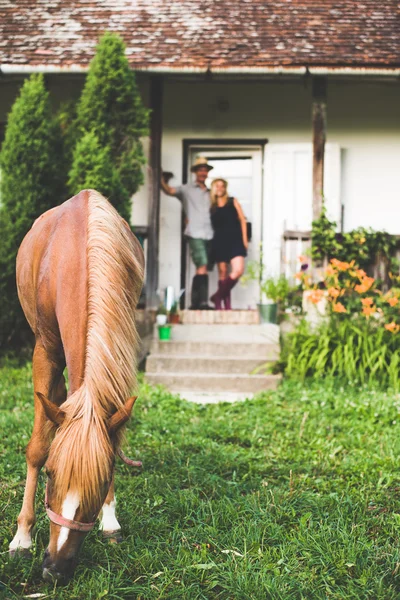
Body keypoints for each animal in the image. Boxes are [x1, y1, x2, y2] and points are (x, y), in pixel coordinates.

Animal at [8, 189, 144, 580]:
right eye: (51, 475)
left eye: (101, 481)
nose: (55, 568)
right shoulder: (46, 351)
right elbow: (38, 447)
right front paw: (22, 537)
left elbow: (110, 434)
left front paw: (109, 518)